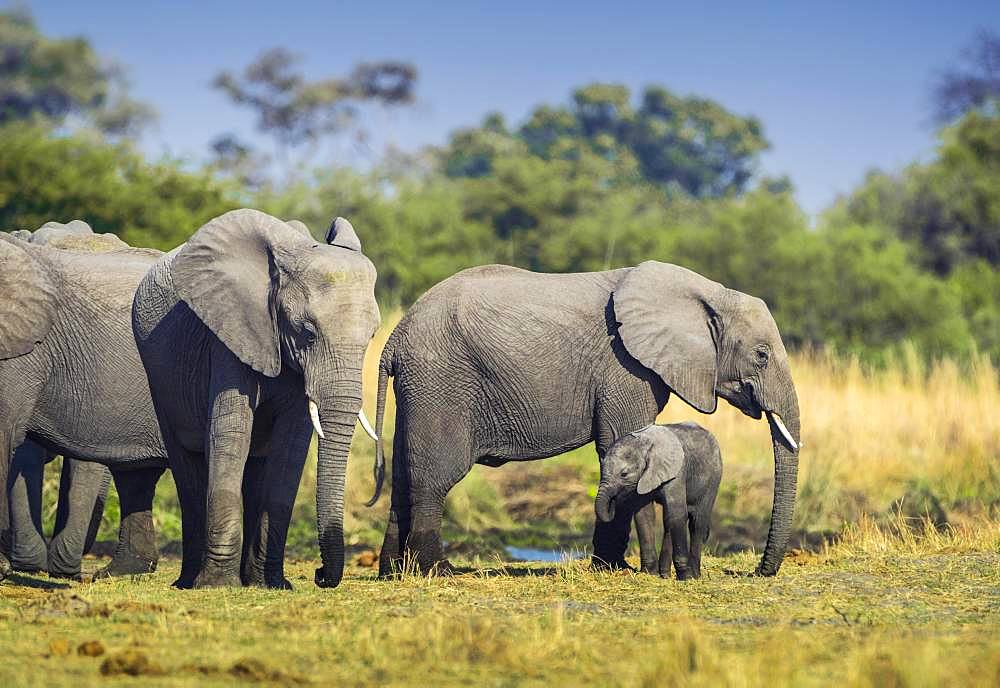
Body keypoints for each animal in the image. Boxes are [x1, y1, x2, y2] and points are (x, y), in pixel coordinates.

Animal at [132, 207, 378, 588]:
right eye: (307, 333)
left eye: (373, 335)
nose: (320, 575)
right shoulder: (230, 333)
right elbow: (231, 434)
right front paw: (217, 585)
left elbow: (289, 450)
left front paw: (273, 584)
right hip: (158, 376)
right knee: (188, 466)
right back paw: (188, 581)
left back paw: (249, 578)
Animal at [596, 422, 724, 576]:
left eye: (624, 474)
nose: (613, 504)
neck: (645, 444)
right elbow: (644, 515)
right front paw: (649, 573)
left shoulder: (677, 472)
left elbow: (677, 514)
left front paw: (686, 577)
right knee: (669, 521)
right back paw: (665, 574)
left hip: (714, 478)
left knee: (697, 522)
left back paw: (694, 575)